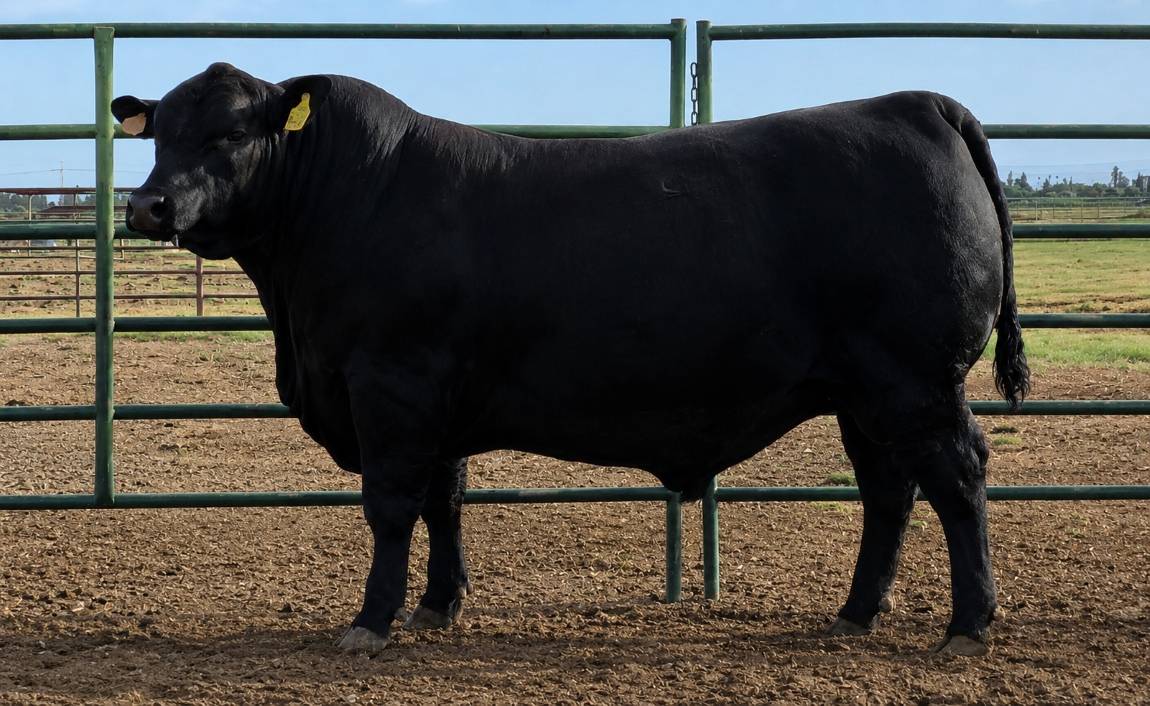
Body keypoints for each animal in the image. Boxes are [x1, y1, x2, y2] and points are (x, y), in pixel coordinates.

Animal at [111, 62, 1028, 657]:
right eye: (159, 134)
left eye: (231, 131)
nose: (148, 205)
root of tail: (916, 103)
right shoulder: (439, 399)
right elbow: (446, 500)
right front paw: (439, 607)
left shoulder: (391, 387)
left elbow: (391, 506)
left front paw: (371, 623)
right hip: (863, 394)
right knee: (889, 491)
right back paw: (856, 612)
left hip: (915, 381)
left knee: (957, 478)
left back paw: (967, 625)